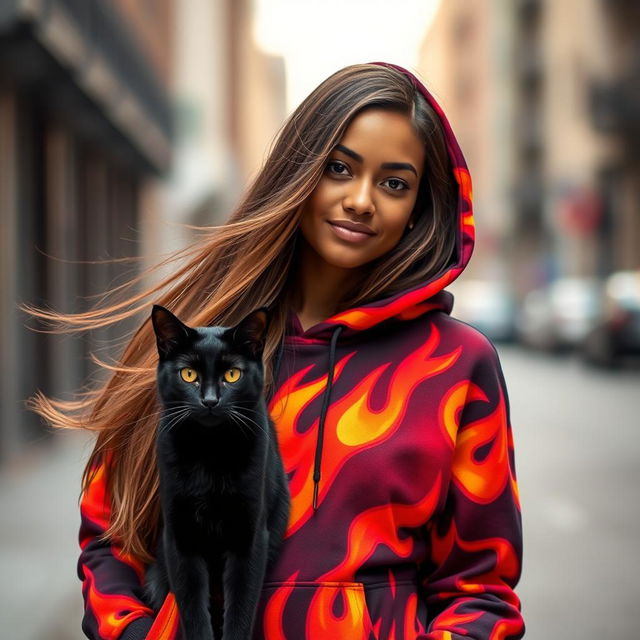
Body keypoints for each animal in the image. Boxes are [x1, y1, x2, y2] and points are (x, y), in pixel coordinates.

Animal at [146, 304, 288, 640]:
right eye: (189, 374)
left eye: (232, 375)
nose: (210, 400)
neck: (209, 453)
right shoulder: (181, 539)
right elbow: (194, 612)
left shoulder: (249, 539)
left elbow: (241, 610)